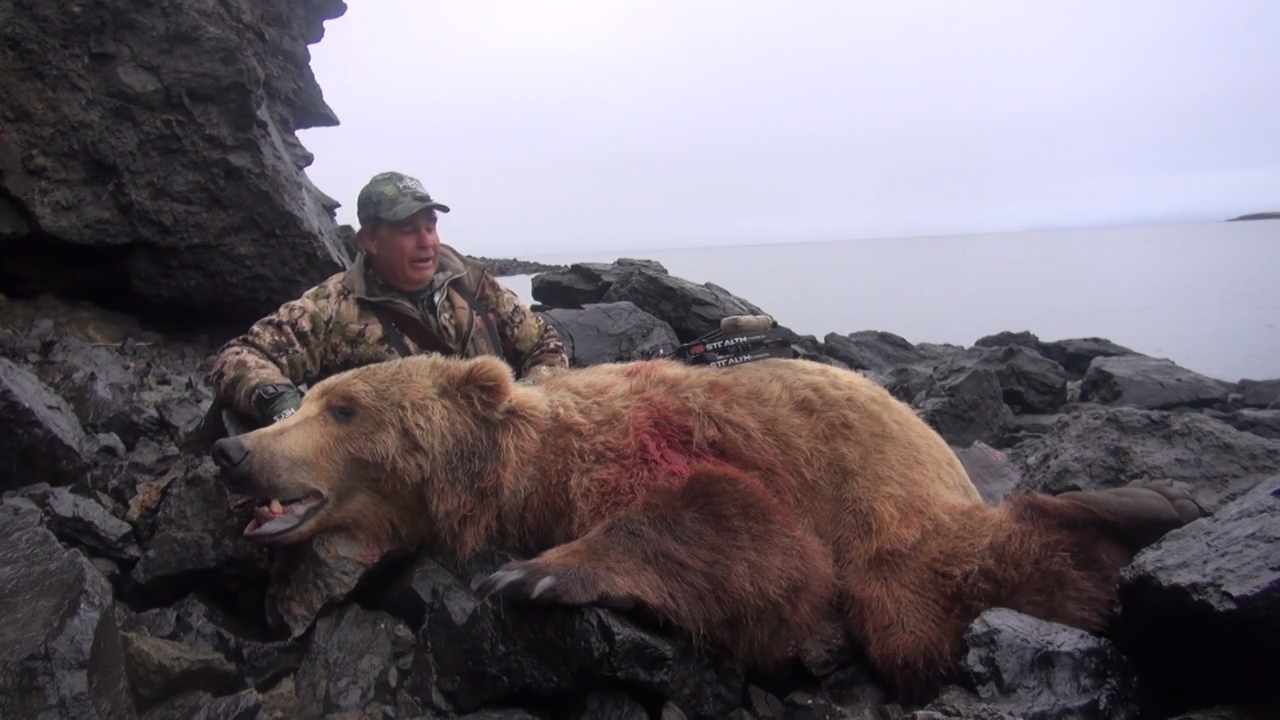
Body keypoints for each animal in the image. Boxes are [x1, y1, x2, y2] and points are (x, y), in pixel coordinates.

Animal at [210, 352, 1201, 702]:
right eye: (309, 399)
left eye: (343, 408)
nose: (233, 451)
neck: (524, 473)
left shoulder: (644, 446)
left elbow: (761, 541)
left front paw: (532, 572)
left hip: (887, 500)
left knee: (918, 594)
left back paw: (1144, 507)